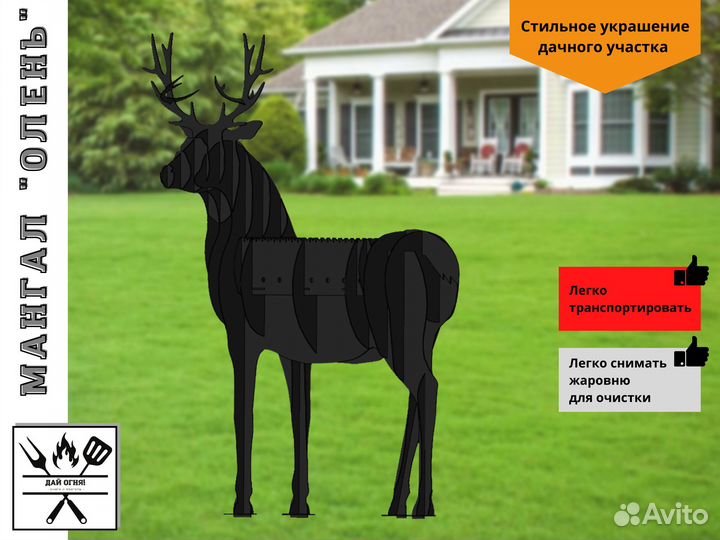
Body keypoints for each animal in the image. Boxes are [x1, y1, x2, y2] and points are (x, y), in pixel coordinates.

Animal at [145, 33, 460, 519]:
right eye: (188, 138)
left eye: (216, 142)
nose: (166, 171)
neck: (241, 247)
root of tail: (446, 264)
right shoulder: (295, 348)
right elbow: (301, 416)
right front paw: (299, 504)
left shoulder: (243, 332)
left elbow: (244, 413)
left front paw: (243, 504)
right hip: (425, 335)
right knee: (419, 392)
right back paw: (395, 502)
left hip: (400, 330)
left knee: (427, 387)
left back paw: (423, 504)